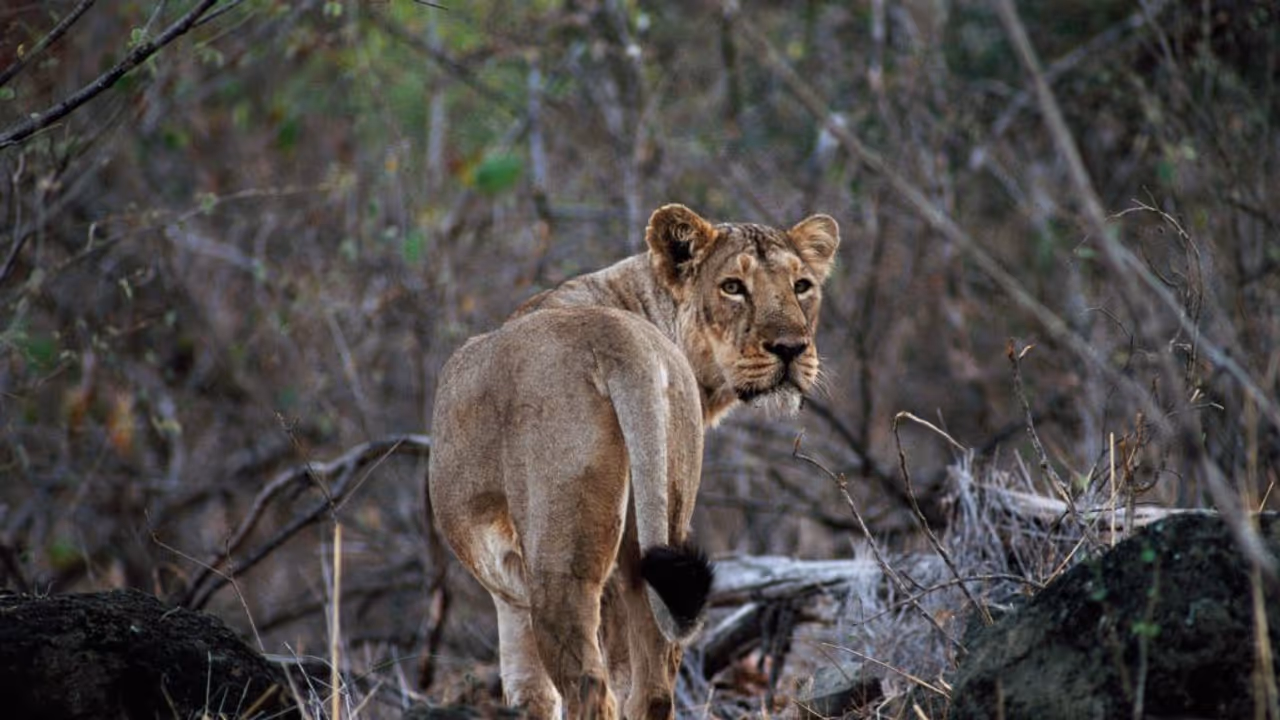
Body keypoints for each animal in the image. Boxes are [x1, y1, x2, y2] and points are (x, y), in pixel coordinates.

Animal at [427, 204, 840, 720]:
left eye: (801, 285)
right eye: (732, 287)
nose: (790, 349)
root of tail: (618, 339)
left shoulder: (511, 599)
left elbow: (531, 697)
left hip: (560, 560)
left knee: (590, 687)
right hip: (657, 533)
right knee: (654, 687)